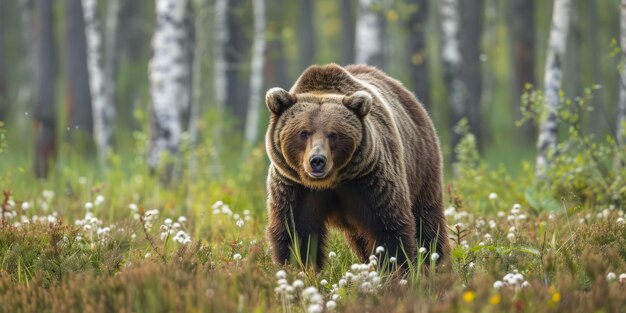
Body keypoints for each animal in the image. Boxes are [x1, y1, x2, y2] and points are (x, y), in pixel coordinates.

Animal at [260, 63, 446, 268]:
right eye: (303, 133)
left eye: (333, 134)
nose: (317, 160)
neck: (331, 182)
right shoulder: (295, 187)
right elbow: (295, 232)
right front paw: (298, 268)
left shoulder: (370, 181)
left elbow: (389, 226)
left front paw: (395, 268)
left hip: (422, 163)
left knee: (427, 220)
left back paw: (436, 262)